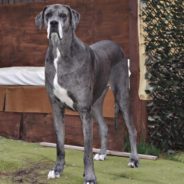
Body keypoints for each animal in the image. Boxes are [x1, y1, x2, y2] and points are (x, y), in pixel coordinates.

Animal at [35, 3, 138, 183]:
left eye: (63, 15)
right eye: (48, 15)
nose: (53, 23)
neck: (60, 53)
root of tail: (117, 46)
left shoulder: (84, 110)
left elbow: (87, 151)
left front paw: (89, 176)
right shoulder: (56, 108)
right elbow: (60, 145)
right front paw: (57, 170)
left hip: (121, 96)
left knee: (131, 129)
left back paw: (134, 160)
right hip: (95, 104)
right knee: (104, 127)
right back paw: (103, 154)